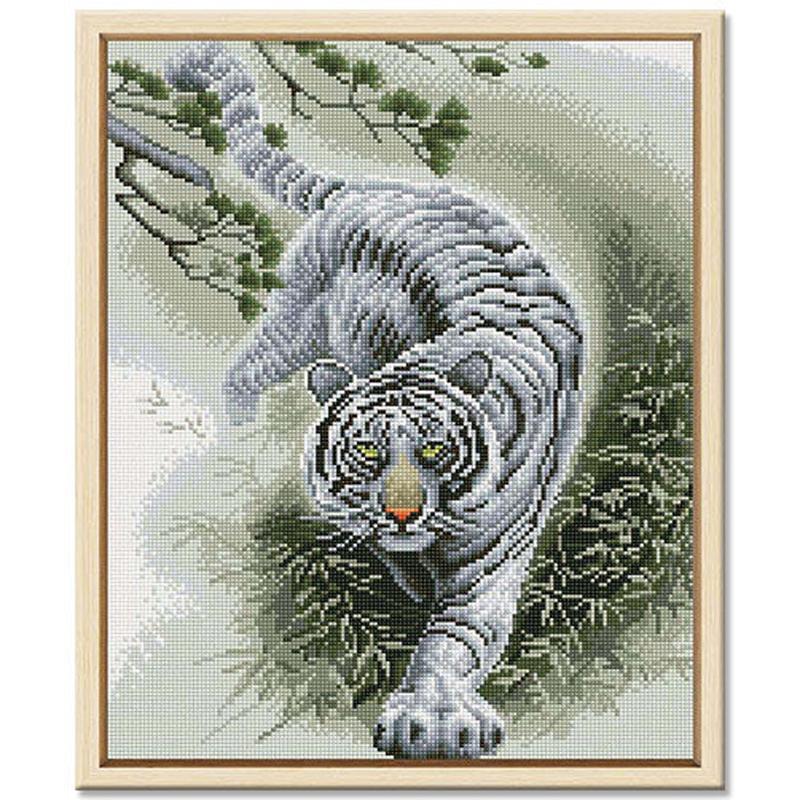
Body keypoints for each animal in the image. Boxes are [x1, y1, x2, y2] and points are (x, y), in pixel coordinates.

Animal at [164, 43, 585, 759]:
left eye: (437, 450)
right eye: (366, 450)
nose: (402, 514)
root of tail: (376, 185)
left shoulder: (491, 567)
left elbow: (451, 642)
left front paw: (433, 718)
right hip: (298, 326)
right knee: (242, 374)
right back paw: (234, 444)